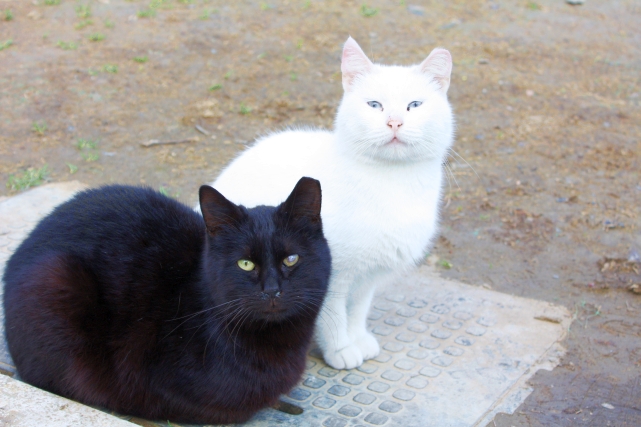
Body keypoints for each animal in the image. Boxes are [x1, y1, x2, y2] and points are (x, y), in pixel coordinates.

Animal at [208, 37, 454, 370]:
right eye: (374, 105)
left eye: (414, 105)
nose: (394, 122)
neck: (391, 183)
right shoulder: (332, 274)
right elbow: (334, 315)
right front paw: (341, 349)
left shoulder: (368, 274)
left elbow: (358, 309)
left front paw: (358, 338)